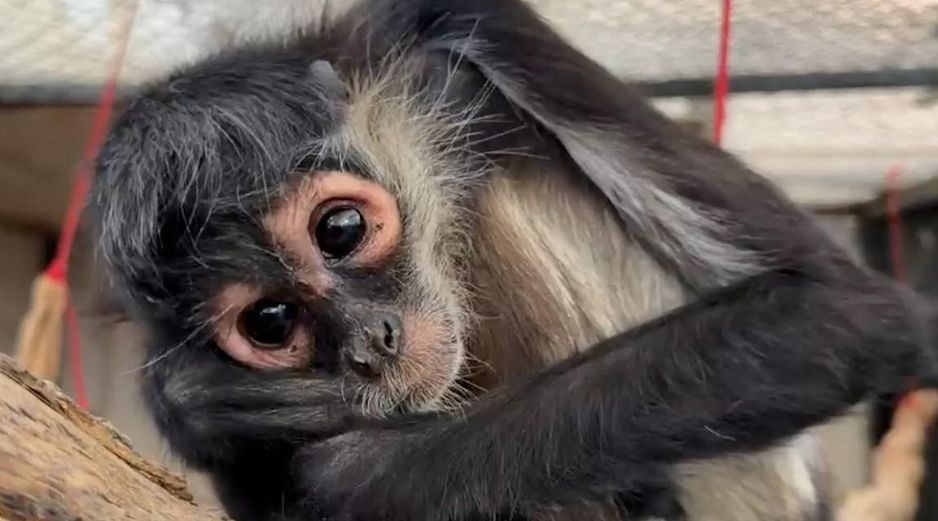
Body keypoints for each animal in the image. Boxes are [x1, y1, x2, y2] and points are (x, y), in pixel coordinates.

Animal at [86, 0, 937, 520]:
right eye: (270, 320)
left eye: (340, 229)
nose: (372, 342)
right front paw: (196, 403)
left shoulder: (467, 17)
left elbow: (838, 309)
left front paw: (366, 477)